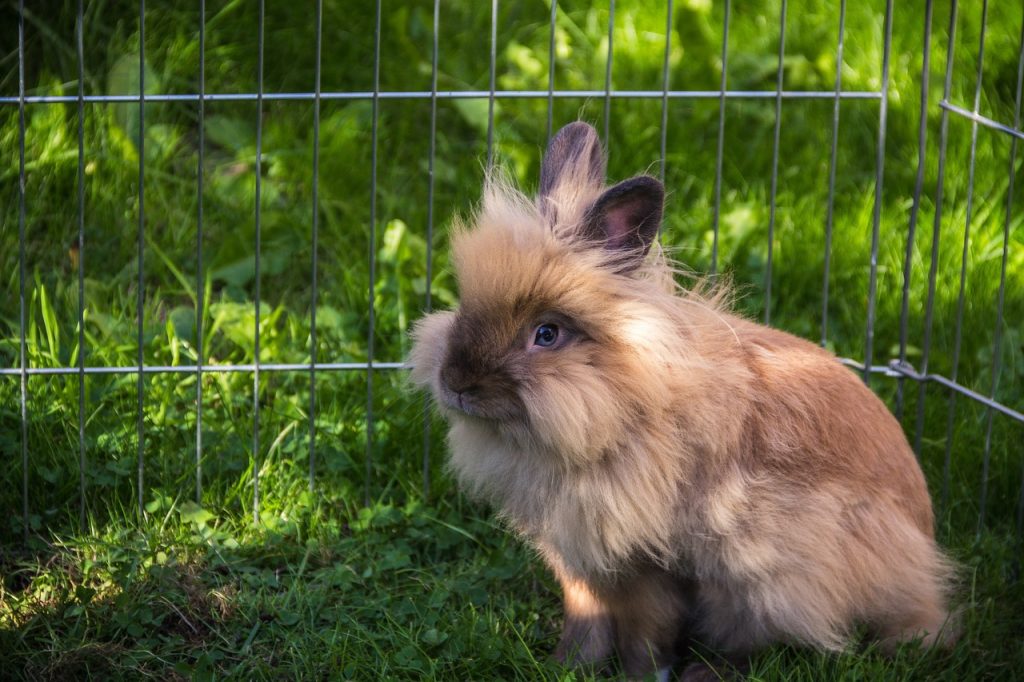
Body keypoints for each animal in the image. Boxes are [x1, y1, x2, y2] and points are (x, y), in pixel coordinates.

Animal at [409, 121, 957, 679]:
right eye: (465, 306)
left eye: (546, 334)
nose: (456, 382)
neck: (622, 403)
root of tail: (920, 575)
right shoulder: (581, 565)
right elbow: (585, 619)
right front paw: (566, 667)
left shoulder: (648, 564)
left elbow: (646, 629)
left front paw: (642, 674)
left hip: (771, 571)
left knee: (761, 637)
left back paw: (705, 671)